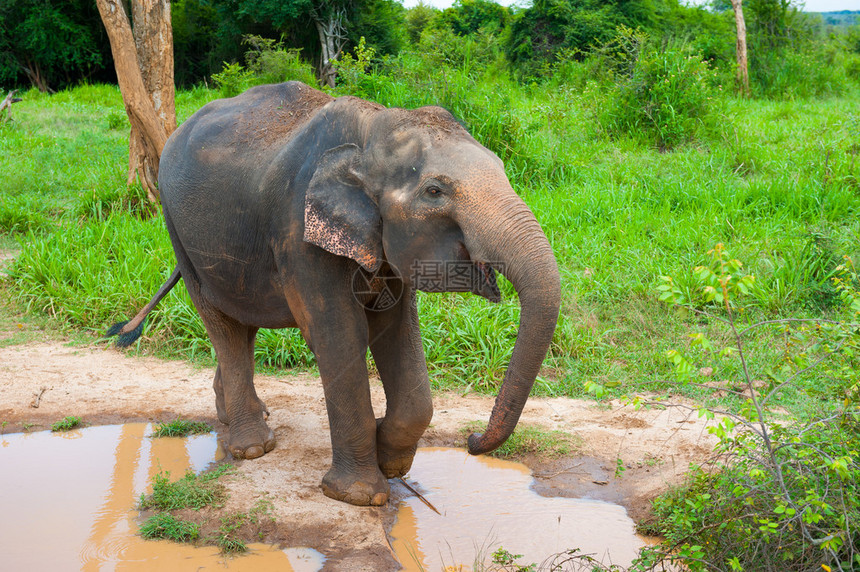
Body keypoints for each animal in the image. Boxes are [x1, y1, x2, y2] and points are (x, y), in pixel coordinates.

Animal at [107, 81, 560, 504]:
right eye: (435, 191)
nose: (471, 440)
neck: (373, 130)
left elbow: (395, 333)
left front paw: (389, 461)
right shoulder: (299, 231)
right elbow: (341, 335)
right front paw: (359, 495)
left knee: (242, 324)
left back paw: (240, 416)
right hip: (177, 228)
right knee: (223, 324)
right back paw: (253, 447)